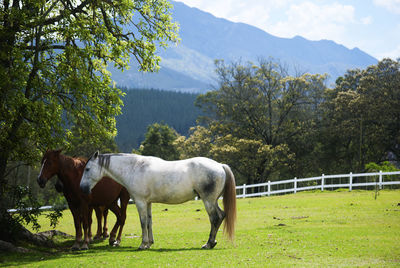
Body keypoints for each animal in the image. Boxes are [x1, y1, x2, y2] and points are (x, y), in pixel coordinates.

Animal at [78, 152, 236, 250]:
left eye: (87, 169)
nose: (82, 188)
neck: (134, 168)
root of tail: (220, 165)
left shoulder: (140, 202)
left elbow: (143, 223)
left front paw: (142, 245)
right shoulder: (147, 203)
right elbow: (149, 222)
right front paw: (149, 243)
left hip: (208, 201)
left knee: (215, 218)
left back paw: (209, 243)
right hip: (213, 201)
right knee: (221, 216)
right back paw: (212, 242)